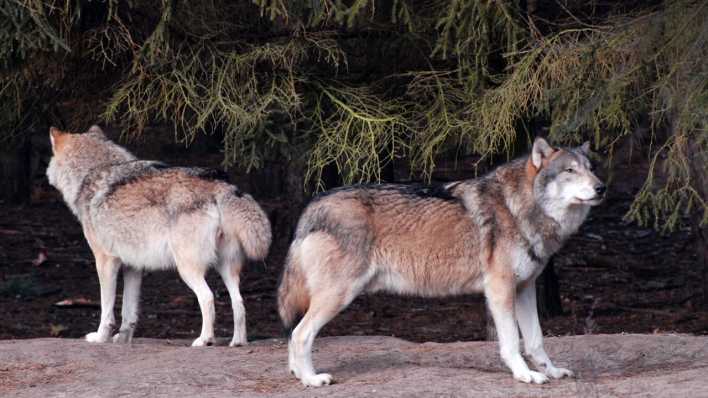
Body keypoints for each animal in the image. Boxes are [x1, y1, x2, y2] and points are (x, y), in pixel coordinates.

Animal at [45, 126, 272, 346]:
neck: (93, 171)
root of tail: (222, 187)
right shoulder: (133, 266)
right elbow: (129, 312)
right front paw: (124, 339)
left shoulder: (105, 261)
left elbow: (106, 310)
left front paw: (100, 338)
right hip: (226, 268)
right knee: (238, 302)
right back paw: (238, 342)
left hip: (187, 269)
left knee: (208, 298)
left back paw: (204, 340)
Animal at [280, 138, 604, 388]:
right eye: (570, 171)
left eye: (591, 169)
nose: (601, 188)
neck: (519, 208)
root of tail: (312, 206)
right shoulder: (500, 289)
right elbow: (512, 342)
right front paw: (525, 375)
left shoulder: (525, 289)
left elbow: (536, 341)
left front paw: (551, 371)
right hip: (339, 296)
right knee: (299, 334)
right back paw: (311, 379)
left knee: (295, 336)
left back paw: (296, 373)